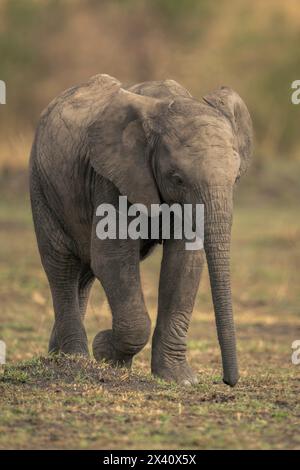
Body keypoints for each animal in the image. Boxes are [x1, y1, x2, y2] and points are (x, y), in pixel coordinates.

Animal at [29, 75, 253, 388]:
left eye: (235, 179)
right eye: (177, 179)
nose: (229, 381)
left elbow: (184, 261)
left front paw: (179, 380)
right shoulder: (110, 177)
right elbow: (113, 258)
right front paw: (106, 352)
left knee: (83, 274)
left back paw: (57, 357)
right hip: (41, 185)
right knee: (61, 265)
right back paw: (76, 360)